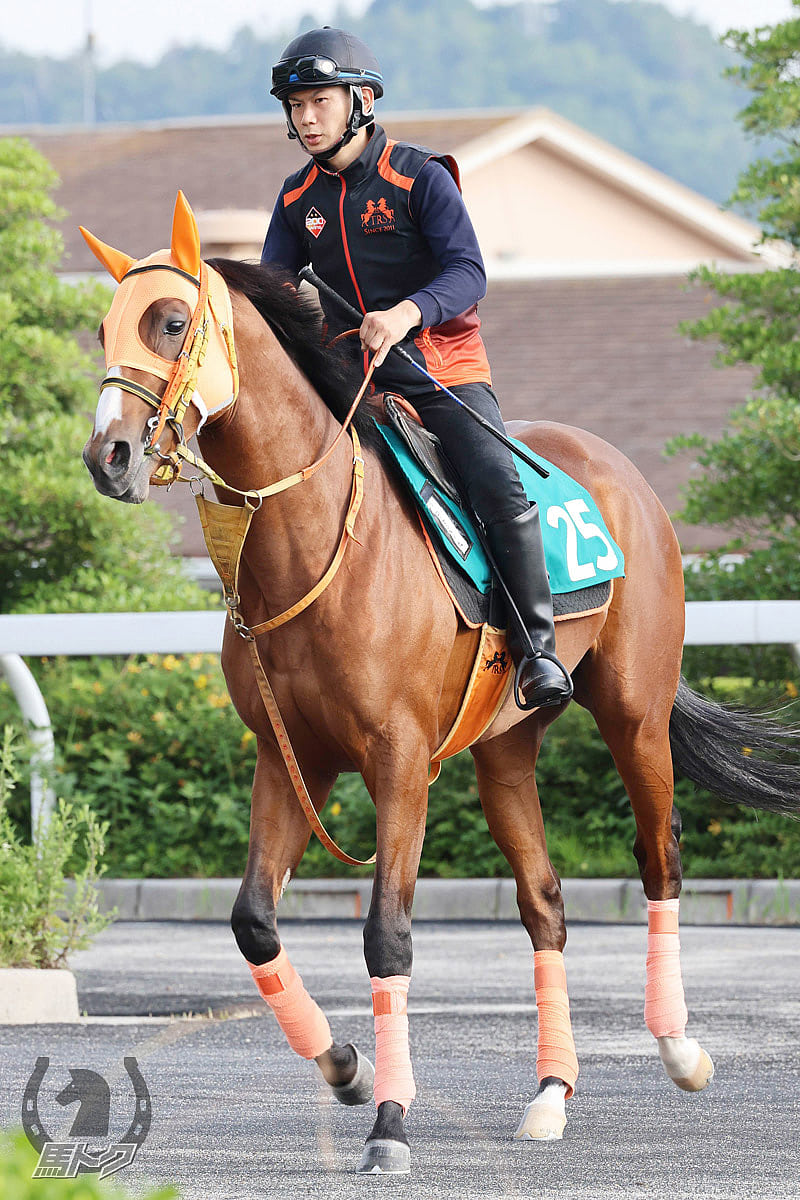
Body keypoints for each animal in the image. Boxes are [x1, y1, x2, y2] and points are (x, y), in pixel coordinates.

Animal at [77, 194, 796, 1171]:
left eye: (172, 322)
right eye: (101, 328)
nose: (108, 455)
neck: (318, 539)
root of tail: (620, 476)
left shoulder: (399, 762)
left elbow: (388, 934)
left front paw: (389, 1120)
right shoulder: (290, 759)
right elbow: (254, 921)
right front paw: (342, 1067)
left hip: (635, 712)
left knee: (662, 858)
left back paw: (681, 1048)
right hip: (506, 751)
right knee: (544, 904)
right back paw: (551, 1093)